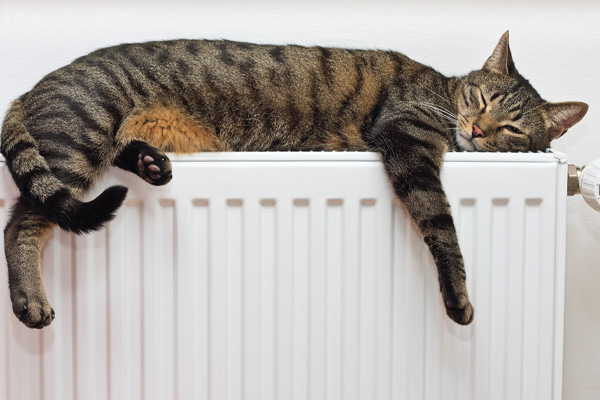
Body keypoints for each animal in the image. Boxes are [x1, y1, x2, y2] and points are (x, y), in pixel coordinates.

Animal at [0, 31, 588, 328]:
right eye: (482, 98)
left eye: (512, 127)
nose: (477, 128)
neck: (444, 95)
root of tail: (31, 89)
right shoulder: (407, 140)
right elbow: (442, 227)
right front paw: (458, 297)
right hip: (78, 140)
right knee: (22, 223)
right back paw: (30, 302)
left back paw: (149, 163)